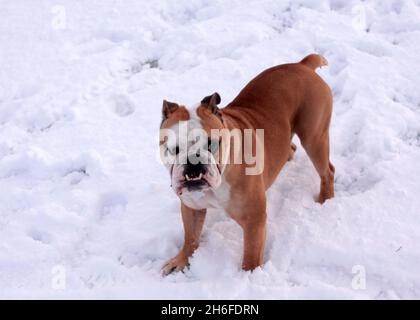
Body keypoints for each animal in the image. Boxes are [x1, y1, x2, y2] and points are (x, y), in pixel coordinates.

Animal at [159, 54, 334, 276]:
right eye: (173, 149)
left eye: (212, 143)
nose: (193, 162)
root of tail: (303, 65)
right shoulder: (191, 207)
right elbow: (190, 237)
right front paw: (181, 260)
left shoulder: (253, 220)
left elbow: (251, 255)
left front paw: (248, 277)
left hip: (314, 138)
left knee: (327, 171)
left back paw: (325, 199)